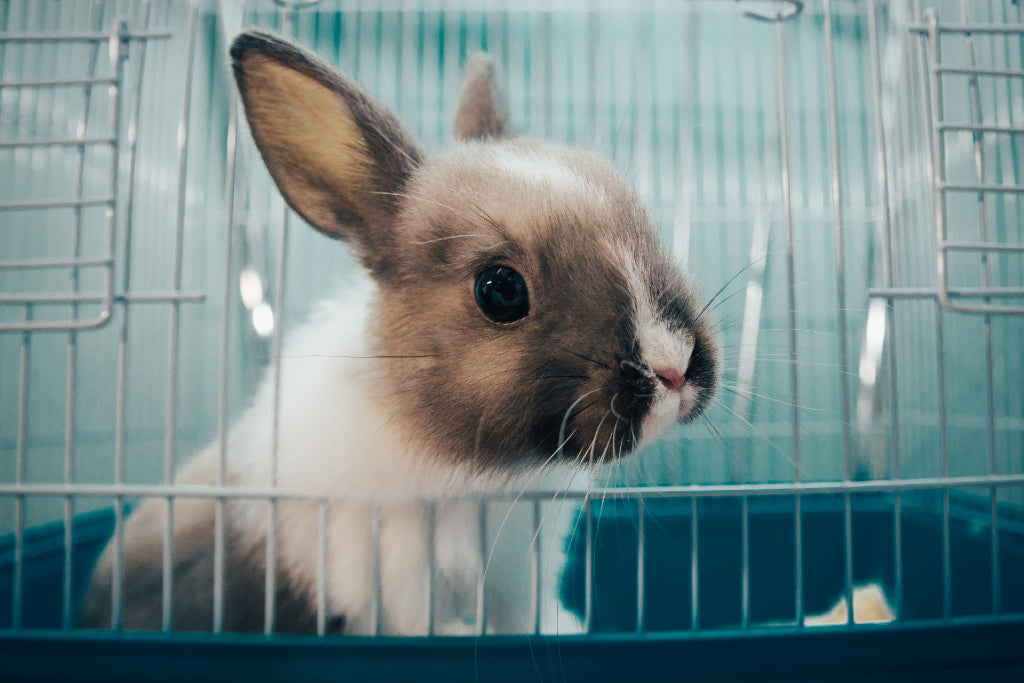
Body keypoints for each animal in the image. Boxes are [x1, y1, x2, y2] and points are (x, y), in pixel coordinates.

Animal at [79, 29, 720, 638]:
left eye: (642, 218)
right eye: (500, 290)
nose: (674, 365)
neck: (489, 471)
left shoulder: (522, 569)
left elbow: (524, 616)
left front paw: (563, 627)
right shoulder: (391, 564)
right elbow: (417, 622)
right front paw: (461, 635)